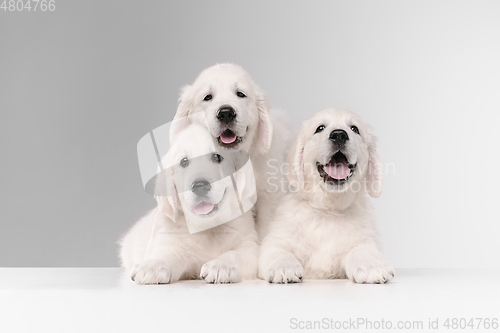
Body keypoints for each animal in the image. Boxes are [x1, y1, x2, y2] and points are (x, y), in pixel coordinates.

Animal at [118, 123, 258, 284]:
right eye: (184, 162)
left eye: (217, 157)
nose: (200, 186)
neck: (208, 227)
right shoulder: (167, 239)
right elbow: (168, 252)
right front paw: (153, 265)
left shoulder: (249, 245)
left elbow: (236, 254)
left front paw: (221, 265)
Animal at [258, 108, 394, 282]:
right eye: (320, 128)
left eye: (354, 129)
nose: (339, 135)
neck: (327, 211)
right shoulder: (276, 241)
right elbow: (278, 251)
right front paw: (284, 267)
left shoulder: (364, 239)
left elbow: (362, 249)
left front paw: (371, 265)